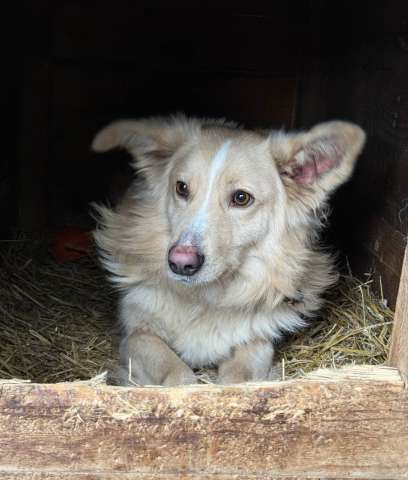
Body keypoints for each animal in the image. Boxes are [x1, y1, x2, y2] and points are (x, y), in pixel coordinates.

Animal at [92, 115, 366, 386]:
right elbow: (177, 374)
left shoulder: (258, 339)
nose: (180, 263)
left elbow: (238, 379)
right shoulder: (135, 335)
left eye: (241, 198)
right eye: (181, 188)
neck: (208, 297)